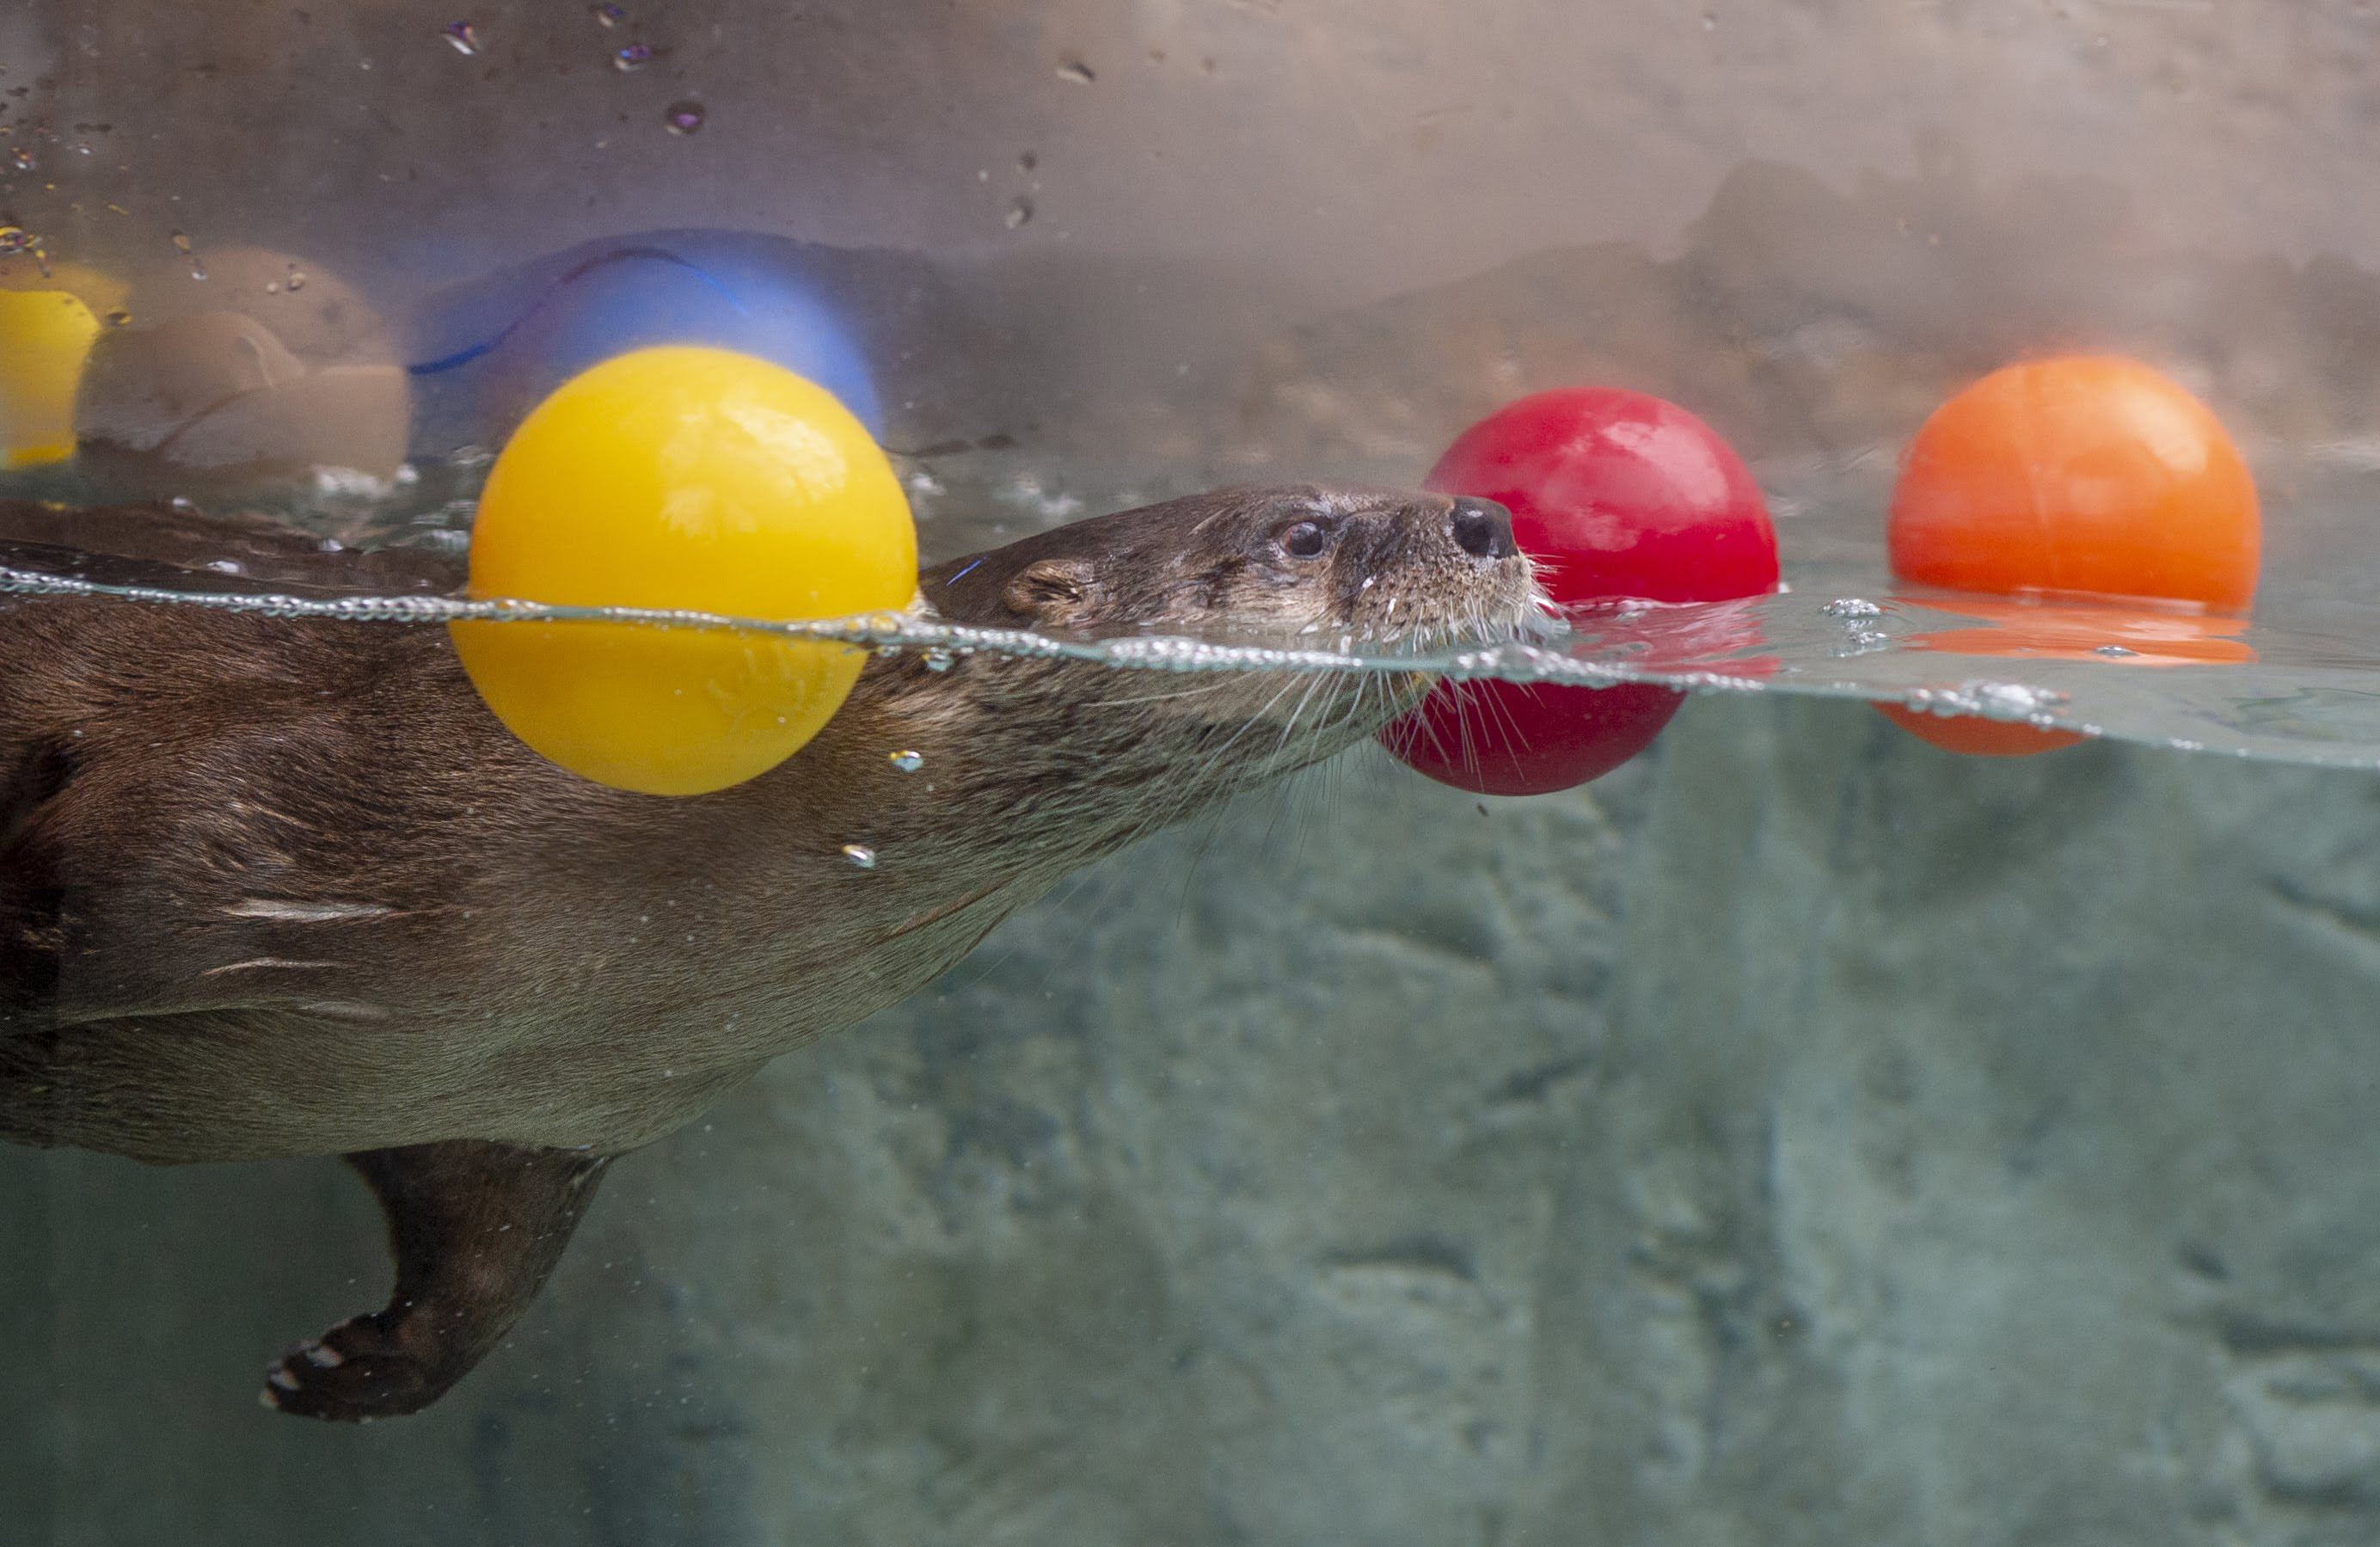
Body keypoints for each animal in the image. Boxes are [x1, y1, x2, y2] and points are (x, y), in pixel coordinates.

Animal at [0, 483, 1529, 1421]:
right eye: (1305, 531)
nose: (1484, 515)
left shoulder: (531, 1106)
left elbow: (480, 1266)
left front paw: (349, 1362)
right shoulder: (262, 804)